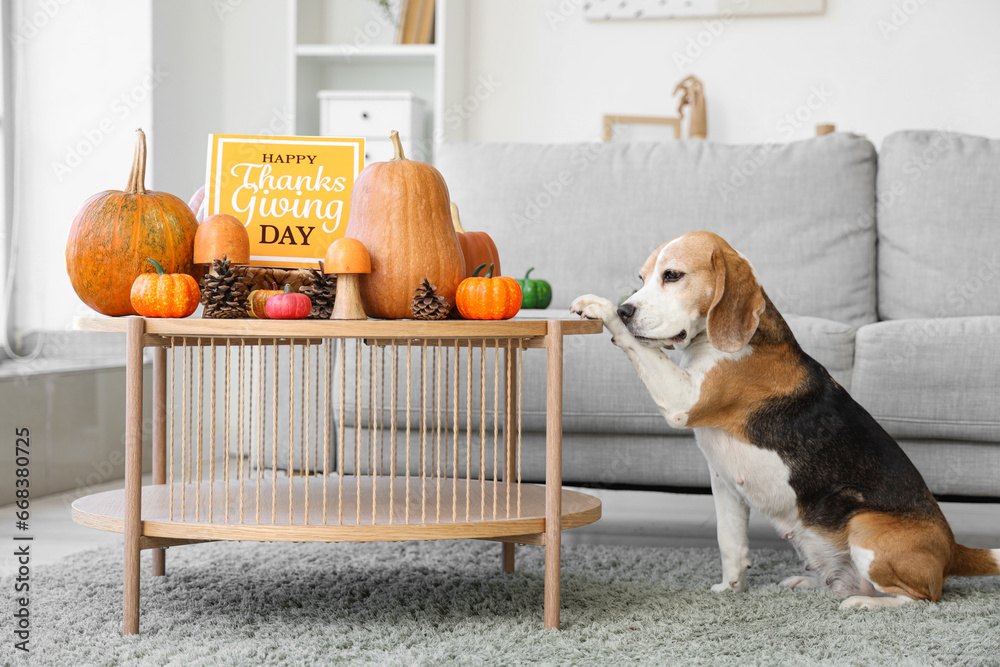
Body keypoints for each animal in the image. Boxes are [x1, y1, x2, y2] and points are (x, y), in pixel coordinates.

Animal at [572, 232, 1000, 608]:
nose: (626, 310)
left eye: (672, 275)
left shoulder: (683, 399)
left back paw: (865, 603)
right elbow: (730, 542)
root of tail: (953, 548)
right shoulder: (724, 482)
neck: (717, 341)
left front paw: (600, 307)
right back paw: (812, 583)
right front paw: (731, 590)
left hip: (866, 526)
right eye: (640, 279)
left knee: (923, 598)